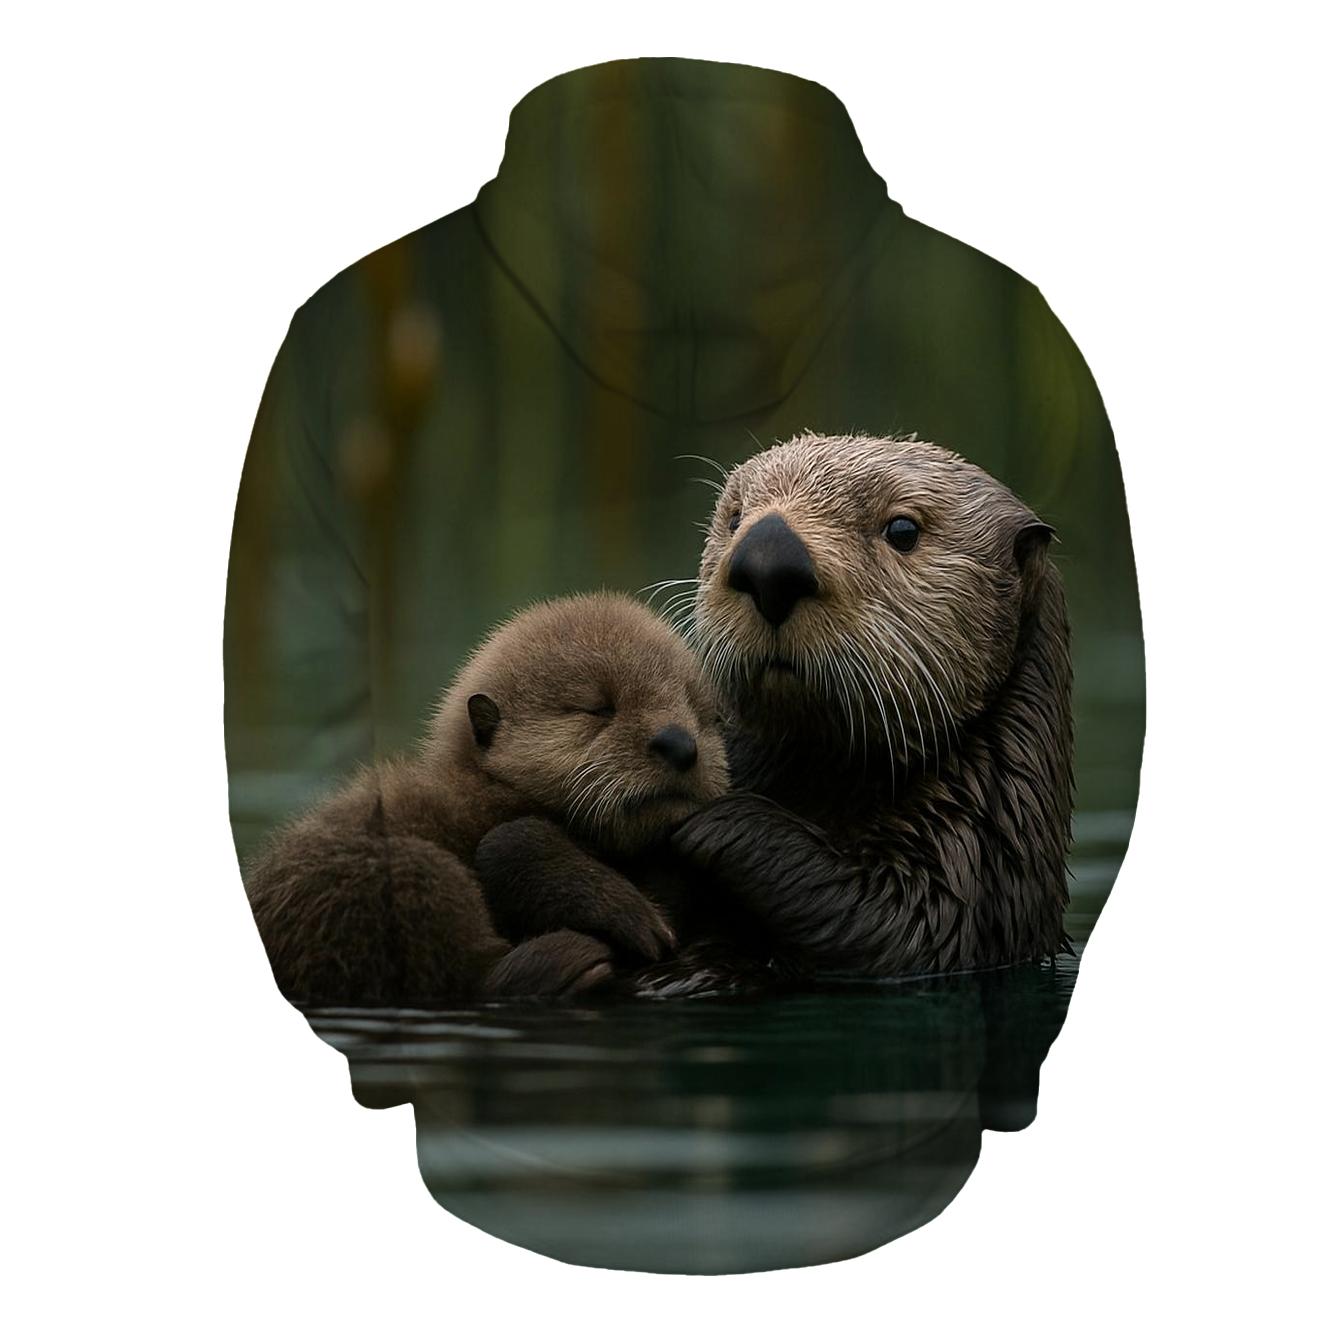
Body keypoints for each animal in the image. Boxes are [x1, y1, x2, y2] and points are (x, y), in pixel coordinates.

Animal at [246, 592, 729, 1005]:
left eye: (702, 714)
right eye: (599, 708)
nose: (679, 742)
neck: (490, 791)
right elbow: (510, 845)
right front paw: (640, 920)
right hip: (401, 876)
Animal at [669, 431, 1073, 977]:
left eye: (902, 529)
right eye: (734, 518)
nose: (768, 560)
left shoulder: (962, 895)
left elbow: (892, 920)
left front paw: (704, 818)